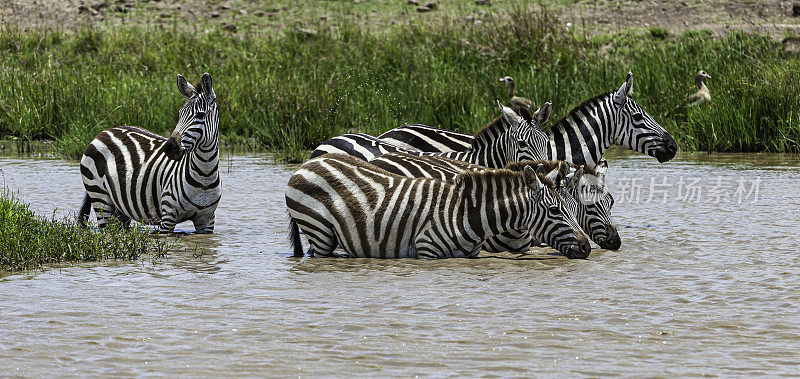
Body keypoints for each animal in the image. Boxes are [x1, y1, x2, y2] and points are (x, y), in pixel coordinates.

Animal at [77, 72, 219, 233]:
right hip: (99, 196)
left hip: (120, 207)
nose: (169, 147)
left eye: (200, 115)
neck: (204, 175)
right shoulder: (168, 218)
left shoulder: (207, 220)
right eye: (180, 114)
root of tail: (104, 132)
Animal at [286, 154, 588, 258]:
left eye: (575, 210)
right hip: (319, 231)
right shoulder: (427, 250)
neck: (465, 214)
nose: (586, 248)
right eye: (555, 211)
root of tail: (310, 162)